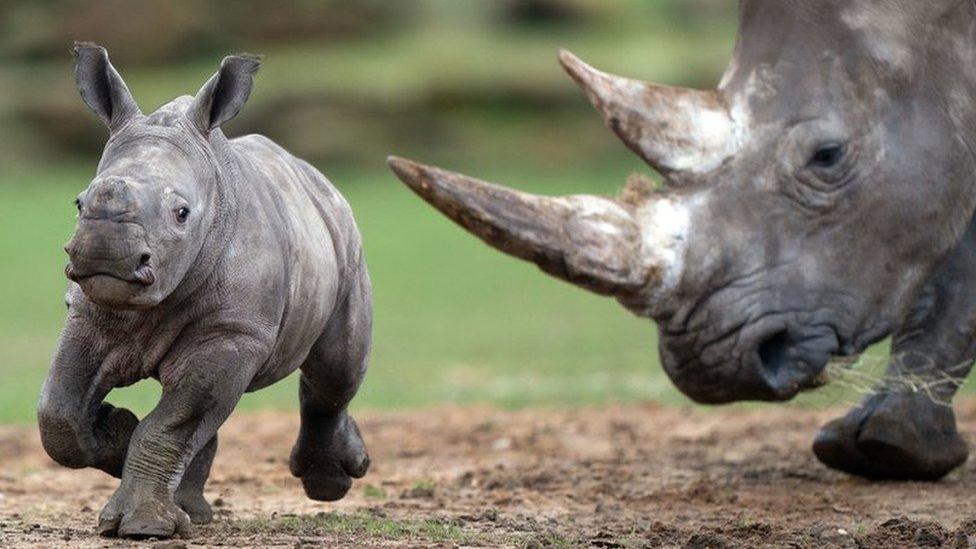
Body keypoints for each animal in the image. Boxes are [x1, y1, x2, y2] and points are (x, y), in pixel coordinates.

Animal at [35, 44, 370, 540]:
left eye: (182, 213)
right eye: (79, 203)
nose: (106, 255)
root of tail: (317, 178)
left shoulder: (233, 331)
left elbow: (173, 423)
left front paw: (145, 528)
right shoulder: (88, 312)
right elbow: (59, 412)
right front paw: (117, 432)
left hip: (347, 244)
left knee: (336, 370)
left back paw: (331, 485)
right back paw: (192, 512)